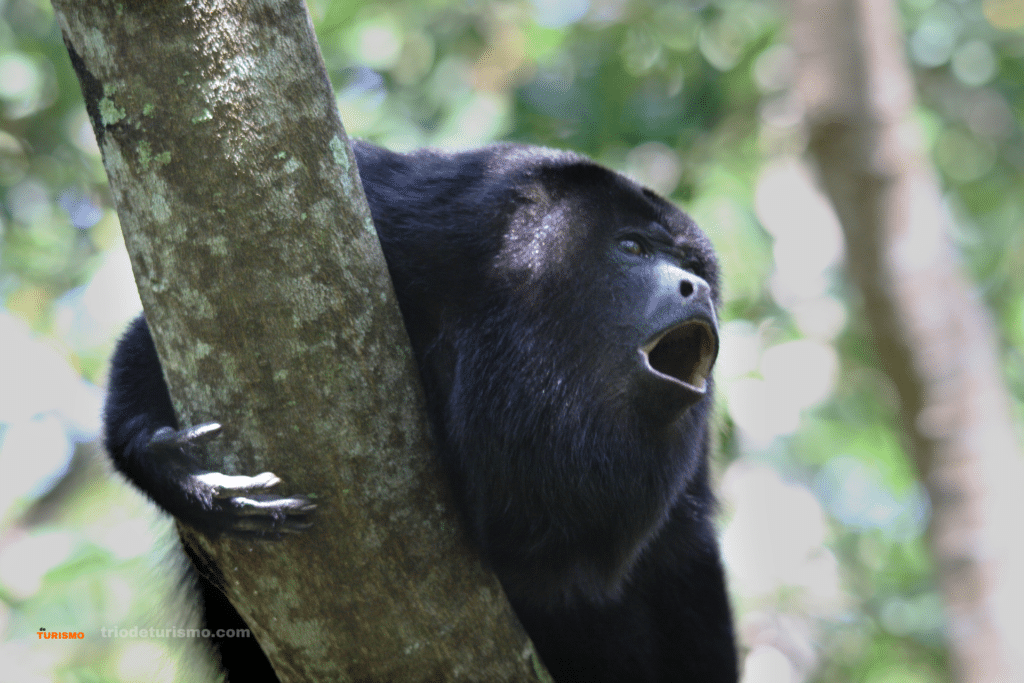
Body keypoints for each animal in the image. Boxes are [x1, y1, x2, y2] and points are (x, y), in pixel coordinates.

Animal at [105, 139, 737, 679]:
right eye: (632, 248)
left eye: (695, 267)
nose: (698, 289)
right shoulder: (431, 222)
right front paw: (173, 471)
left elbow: (685, 555)